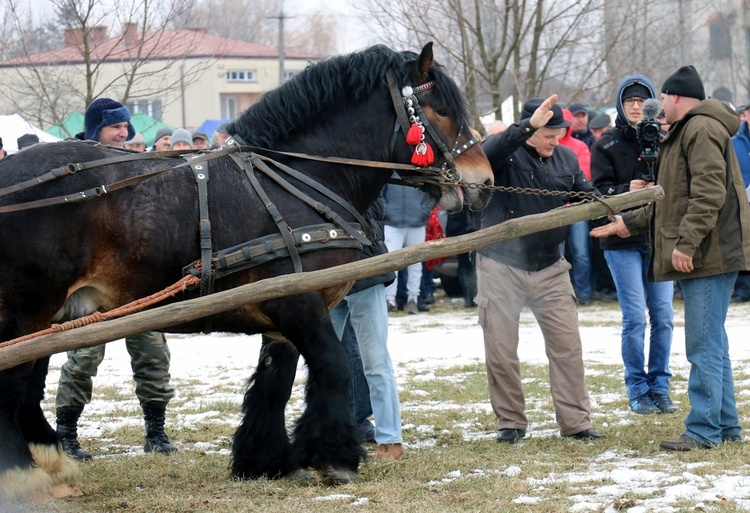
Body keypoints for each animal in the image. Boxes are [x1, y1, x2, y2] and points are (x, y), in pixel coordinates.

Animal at [0, 44, 494, 500]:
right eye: (441, 108)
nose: (485, 182)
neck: (296, 178)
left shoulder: (283, 313)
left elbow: (275, 382)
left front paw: (266, 460)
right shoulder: (300, 305)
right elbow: (334, 367)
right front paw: (333, 457)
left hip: (52, 317)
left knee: (29, 388)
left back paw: (50, 463)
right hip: (28, 310)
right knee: (13, 384)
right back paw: (24, 473)